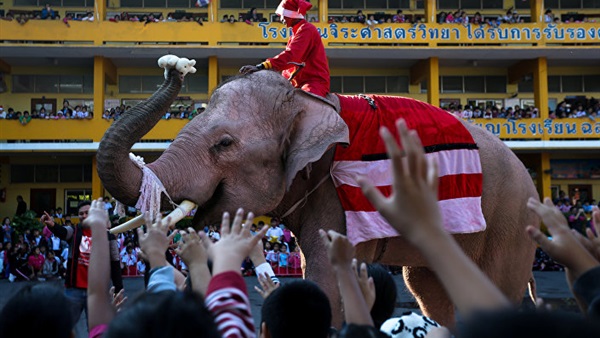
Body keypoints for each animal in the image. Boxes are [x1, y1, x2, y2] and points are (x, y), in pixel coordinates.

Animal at [97, 56, 540, 328]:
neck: (308, 100)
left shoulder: (339, 191)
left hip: (510, 218)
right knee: (428, 287)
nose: (175, 66)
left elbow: (329, 274)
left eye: (223, 144)